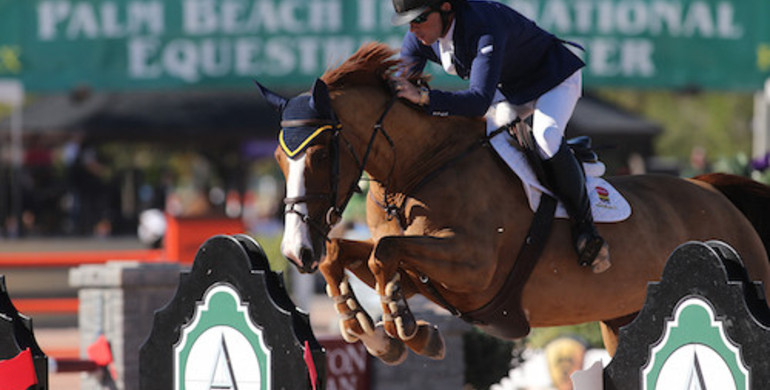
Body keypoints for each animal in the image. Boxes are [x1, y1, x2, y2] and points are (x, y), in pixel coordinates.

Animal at [256, 43, 768, 366]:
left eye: (322, 153)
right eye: (279, 158)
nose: (295, 251)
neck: (425, 165)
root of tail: (713, 190)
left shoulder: (474, 267)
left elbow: (385, 254)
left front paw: (406, 330)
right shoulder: (425, 272)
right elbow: (346, 255)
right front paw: (370, 332)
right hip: (621, 318)